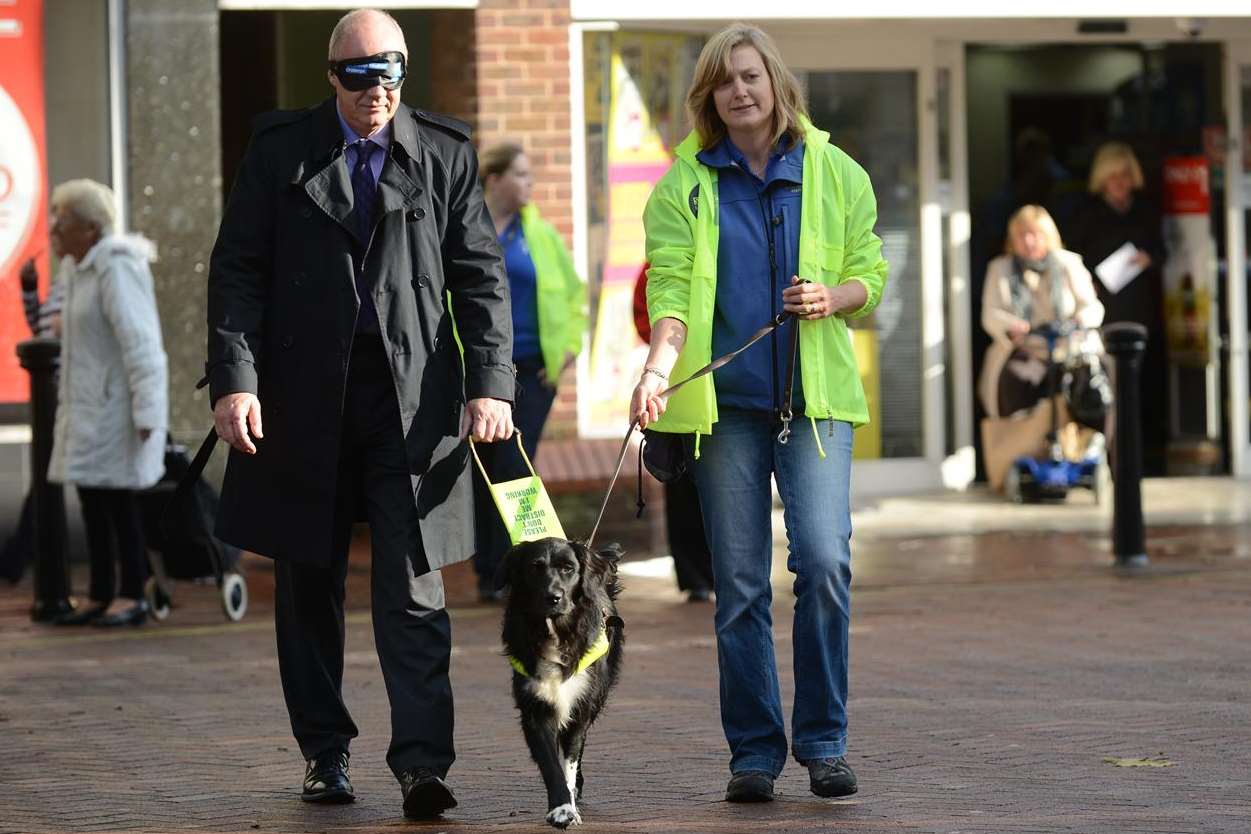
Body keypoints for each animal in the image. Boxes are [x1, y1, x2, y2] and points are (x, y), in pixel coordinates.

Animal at [492, 537, 620, 825]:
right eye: (535, 567)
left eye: (568, 568)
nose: (553, 597)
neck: (554, 631)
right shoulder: (535, 709)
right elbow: (551, 765)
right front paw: (561, 809)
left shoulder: (579, 707)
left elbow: (570, 761)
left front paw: (570, 805)